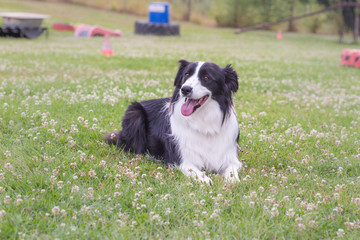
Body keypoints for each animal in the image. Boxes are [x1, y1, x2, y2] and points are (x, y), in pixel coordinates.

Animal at [107, 60, 242, 184]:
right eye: (186, 74)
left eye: (206, 77)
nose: (185, 89)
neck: (203, 122)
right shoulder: (183, 160)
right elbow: (196, 172)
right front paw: (204, 179)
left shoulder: (230, 158)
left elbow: (232, 172)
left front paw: (232, 181)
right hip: (134, 112)